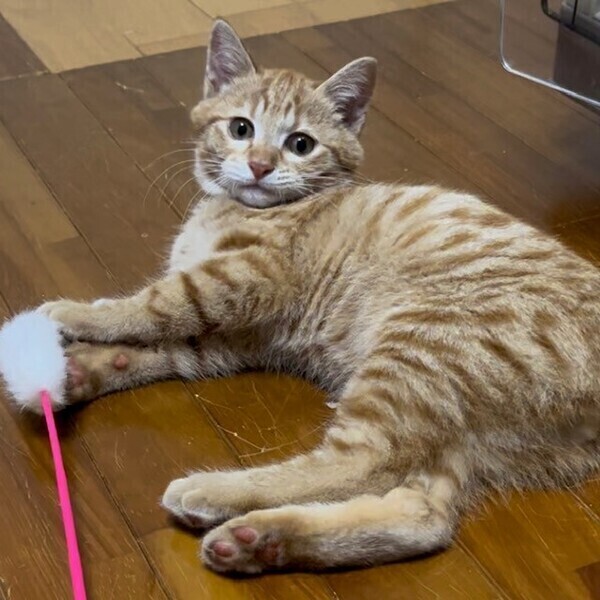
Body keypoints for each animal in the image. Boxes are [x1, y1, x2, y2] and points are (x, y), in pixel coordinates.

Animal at [37, 19, 599, 575]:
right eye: (240, 128)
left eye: (301, 143)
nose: (260, 165)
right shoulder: (239, 338)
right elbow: (168, 347)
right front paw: (83, 369)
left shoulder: (245, 279)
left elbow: (156, 304)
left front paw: (73, 312)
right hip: (456, 431)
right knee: (424, 515)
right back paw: (257, 540)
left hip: (418, 355)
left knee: (360, 462)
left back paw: (216, 494)